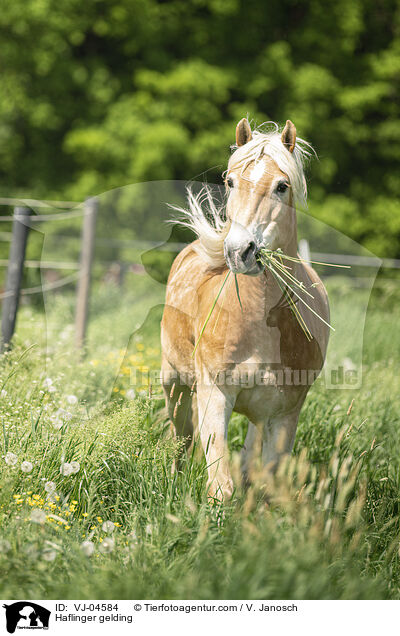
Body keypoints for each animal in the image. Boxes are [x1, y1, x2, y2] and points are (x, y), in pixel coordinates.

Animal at [161, 117, 330, 500]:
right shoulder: (214, 394)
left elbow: (266, 483)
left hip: (259, 416)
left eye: (282, 186)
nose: (240, 251)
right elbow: (221, 484)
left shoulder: (285, 413)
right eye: (230, 181)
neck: (259, 324)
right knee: (181, 439)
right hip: (174, 384)